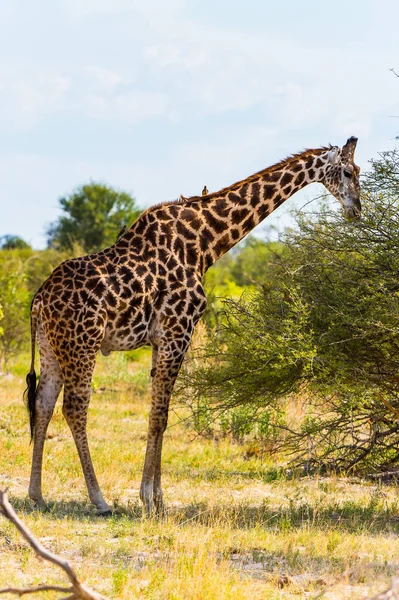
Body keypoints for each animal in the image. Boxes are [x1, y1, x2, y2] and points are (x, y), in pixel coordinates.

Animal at [25, 137, 362, 516]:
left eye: (358, 170)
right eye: (347, 172)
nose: (357, 209)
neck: (205, 243)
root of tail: (39, 300)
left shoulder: (163, 339)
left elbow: (161, 414)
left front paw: (157, 497)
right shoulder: (177, 331)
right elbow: (159, 414)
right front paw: (149, 498)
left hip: (52, 348)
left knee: (43, 404)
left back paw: (37, 494)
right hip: (82, 344)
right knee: (74, 408)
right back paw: (98, 499)